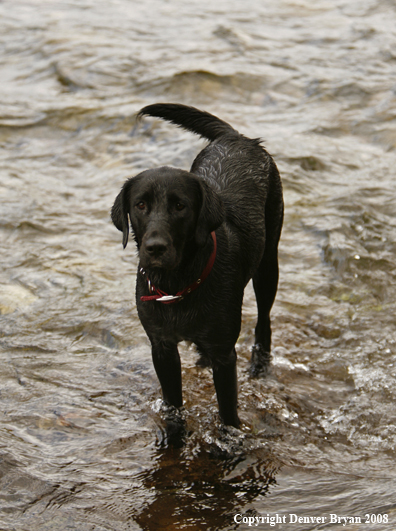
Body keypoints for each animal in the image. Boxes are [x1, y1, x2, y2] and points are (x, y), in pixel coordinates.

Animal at [113, 104, 284, 428]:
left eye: (180, 206)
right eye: (140, 205)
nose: (155, 247)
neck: (177, 285)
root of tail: (236, 137)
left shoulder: (225, 355)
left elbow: (228, 414)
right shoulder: (162, 348)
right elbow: (173, 404)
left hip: (268, 263)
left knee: (264, 320)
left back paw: (260, 364)